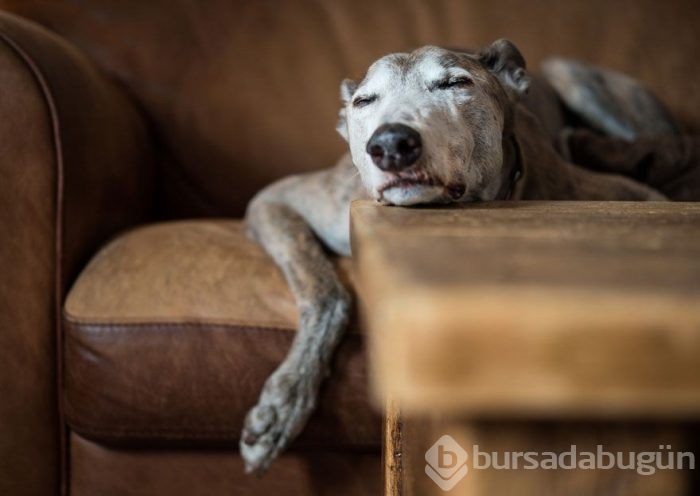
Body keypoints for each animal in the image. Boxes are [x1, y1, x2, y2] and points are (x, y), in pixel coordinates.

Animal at [241, 38, 672, 472]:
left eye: (455, 83)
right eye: (364, 101)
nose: (391, 144)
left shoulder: (634, 194)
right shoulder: (275, 200)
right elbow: (328, 294)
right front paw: (283, 403)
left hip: (576, 79)